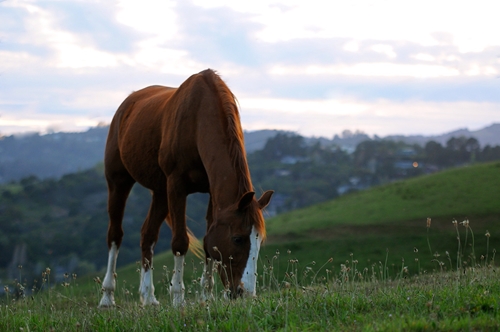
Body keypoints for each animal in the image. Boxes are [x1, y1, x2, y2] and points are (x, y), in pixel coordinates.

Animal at [98, 68, 274, 308]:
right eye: (238, 238)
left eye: (259, 240)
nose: (245, 293)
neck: (198, 119)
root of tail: (128, 103)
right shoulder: (176, 186)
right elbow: (180, 242)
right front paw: (178, 298)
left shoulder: (211, 192)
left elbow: (208, 241)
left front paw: (206, 295)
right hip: (119, 182)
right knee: (115, 235)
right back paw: (107, 297)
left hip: (160, 192)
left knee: (148, 235)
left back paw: (149, 297)